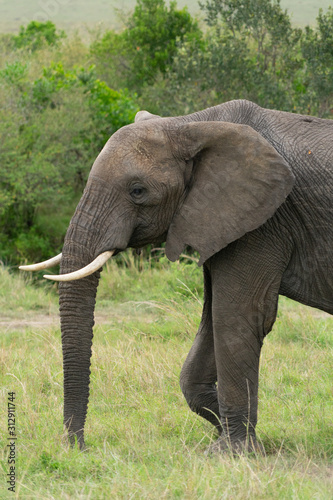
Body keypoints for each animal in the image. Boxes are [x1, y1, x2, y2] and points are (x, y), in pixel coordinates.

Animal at [20, 99, 332, 456]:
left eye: (137, 191)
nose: (78, 448)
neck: (189, 125)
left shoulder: (264, 221)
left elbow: (237, 316)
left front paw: (232, 452)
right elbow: (211, 321)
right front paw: (232, 434)